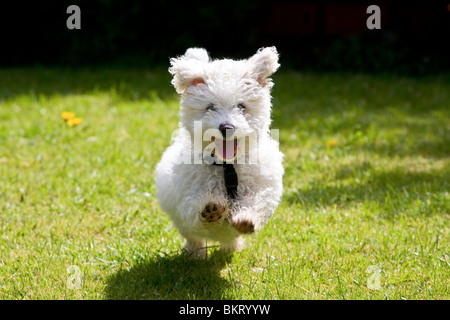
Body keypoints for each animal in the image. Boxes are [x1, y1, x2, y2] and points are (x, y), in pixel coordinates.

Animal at [155, 47, 282, 258]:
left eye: (241, 106)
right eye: (210, 107)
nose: (226, 127)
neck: (227, 166)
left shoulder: (263, 186)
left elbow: (257, 200)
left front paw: (247, 217)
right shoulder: (188, 197)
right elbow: (194, 207)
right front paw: (211, 210)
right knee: (194, 238)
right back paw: (195, 253)